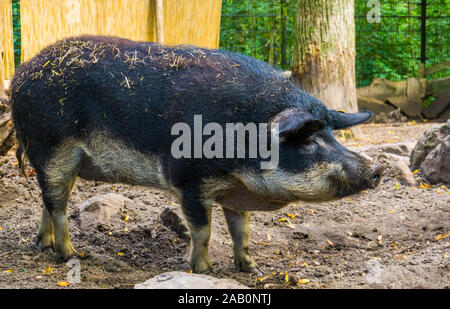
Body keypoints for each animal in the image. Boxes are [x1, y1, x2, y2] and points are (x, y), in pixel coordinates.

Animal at [10, 35, 382, 274]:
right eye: (308, 141)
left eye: (332, 134)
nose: (377, 169)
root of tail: (19, 76)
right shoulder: (187, 181)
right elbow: (203, 231)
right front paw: (207, 271)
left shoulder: (236, 192)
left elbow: (242, 231)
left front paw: (252, 270)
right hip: (52, 149)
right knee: (58, 205)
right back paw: (72, 255)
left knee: (47, 200)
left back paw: (42, 245)